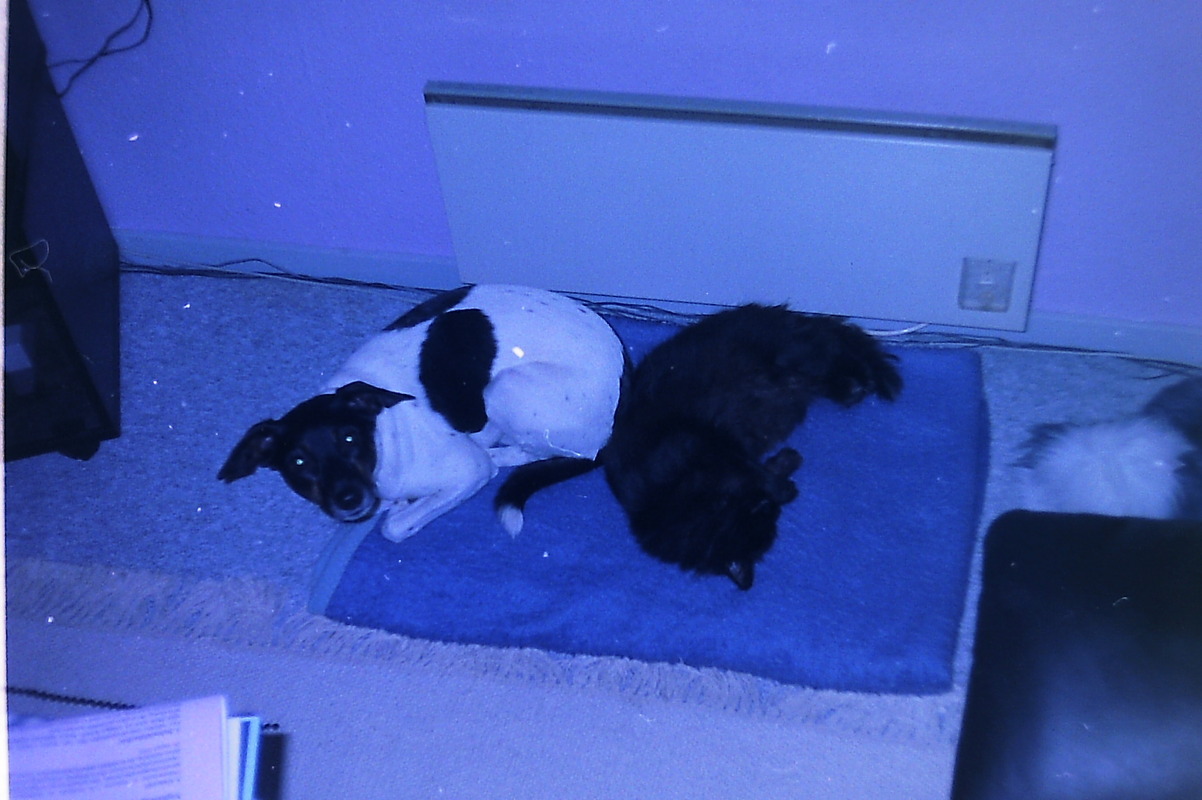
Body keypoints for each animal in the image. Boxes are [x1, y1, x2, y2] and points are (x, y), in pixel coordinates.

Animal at [218, 284, 626, 542]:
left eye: (349, 437)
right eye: (298, 463)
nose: (349, 500)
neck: (382, 438)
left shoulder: (468, 471)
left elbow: (395, 527)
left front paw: (398, 511)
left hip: (505, 387)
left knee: (535, 452)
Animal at [495, 304, 902, 590]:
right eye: (766, 517)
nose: (770, 505)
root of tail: (780, 315)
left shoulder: (708, 443)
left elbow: (757, 470)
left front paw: (786, 478)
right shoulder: (724, 455)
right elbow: (762, 470)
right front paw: (787, 473)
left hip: (795, 355)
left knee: (841, 345)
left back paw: (867, 380)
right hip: (802, 371)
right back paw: (854, 388)